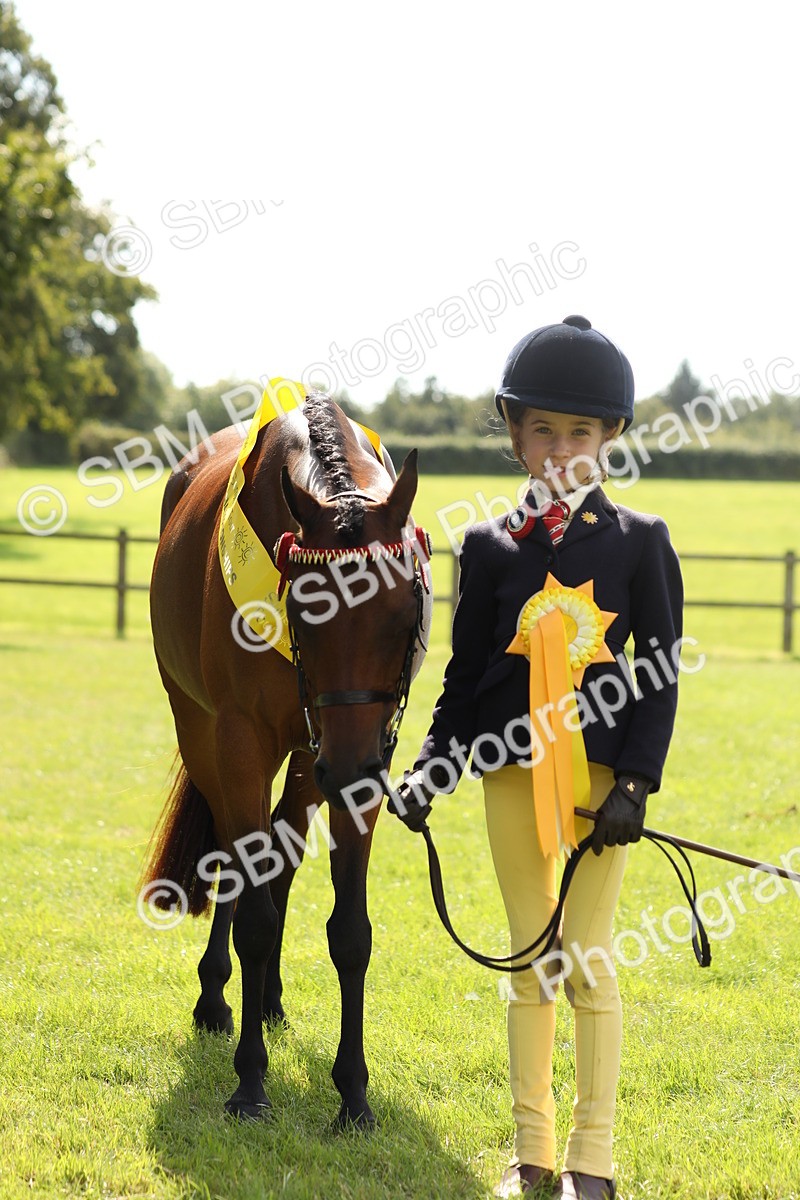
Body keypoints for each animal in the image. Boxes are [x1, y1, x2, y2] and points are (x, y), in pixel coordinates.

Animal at [142, 387, 429, 1127]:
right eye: (305, 610)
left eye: (404, 611)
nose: (349, 768)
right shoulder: (241, 741)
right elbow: (253, 912)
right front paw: (249, 1080)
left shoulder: (359, 758)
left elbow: (350, 930)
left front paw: (353, 1093)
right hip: (206, 731)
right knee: (230, 855)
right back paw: (217, 997)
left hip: (309, 758)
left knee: (284, 849)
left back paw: (266, 997)